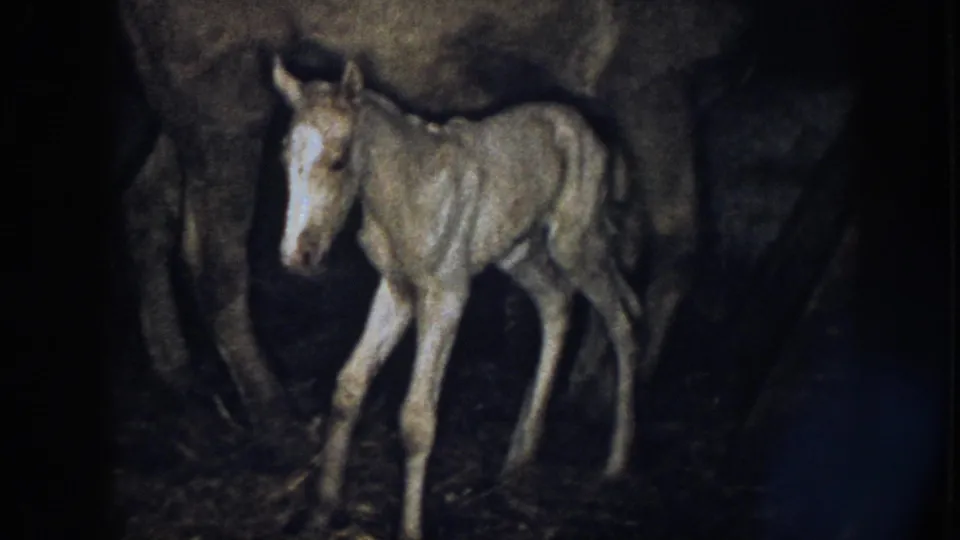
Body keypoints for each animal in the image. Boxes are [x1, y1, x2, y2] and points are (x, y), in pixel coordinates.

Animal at [272, 58, 642, 540]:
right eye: (284, 158)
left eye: (338, 161)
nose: (297, 256)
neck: (407, 191)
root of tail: (589, 130)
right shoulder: (396, 288)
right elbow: (350, 384)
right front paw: (321, 511)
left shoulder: (446, 292)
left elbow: (416, 419)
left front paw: (410, 528)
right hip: (519, 253)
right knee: (557, 303)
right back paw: (517, 459)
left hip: (575, 243)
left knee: (622, 319)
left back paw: (616, 463)